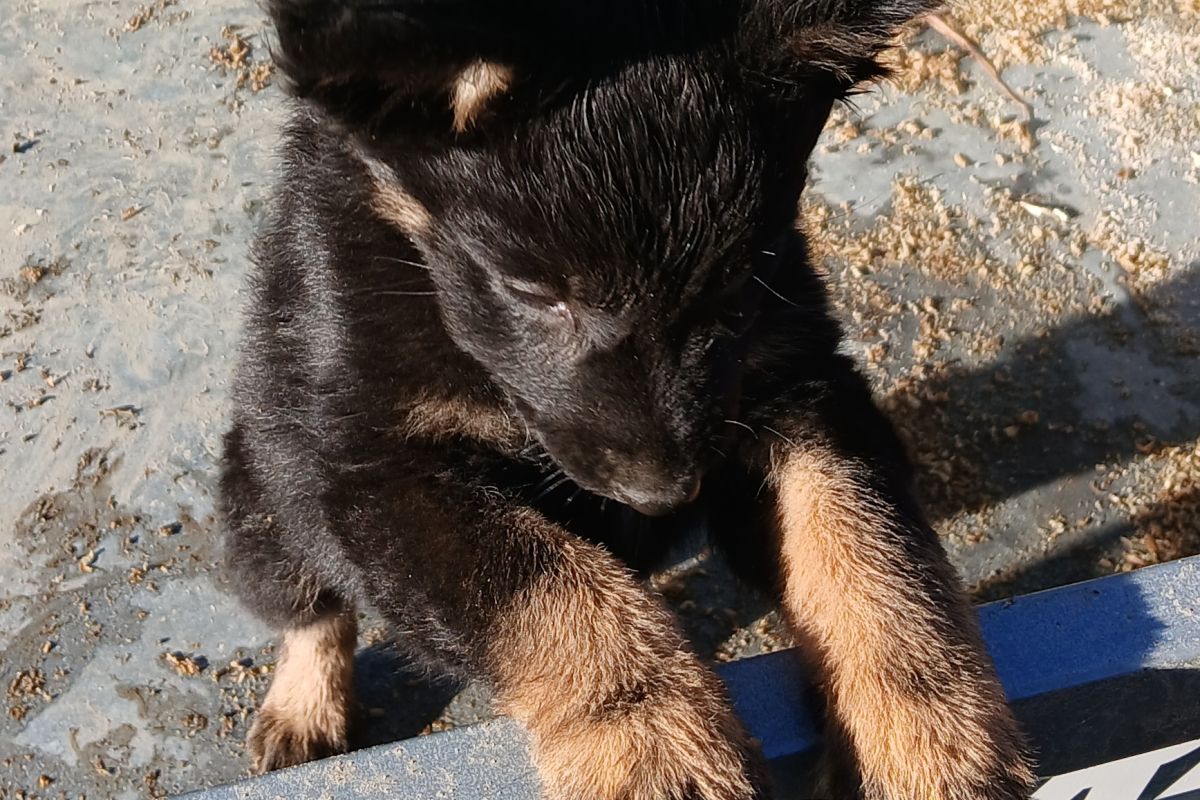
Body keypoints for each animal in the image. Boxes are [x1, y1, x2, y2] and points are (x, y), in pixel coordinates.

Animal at [223, 3, 1041, 796]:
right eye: (532, 291)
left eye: (739, 276)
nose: (665, 494)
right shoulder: (375, 469)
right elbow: (548, 590)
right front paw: (656, 748)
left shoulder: (792, 379)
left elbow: (863, 537)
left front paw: (930, 729)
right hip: (264, 489)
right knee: (307, 606)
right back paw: (305, 707)